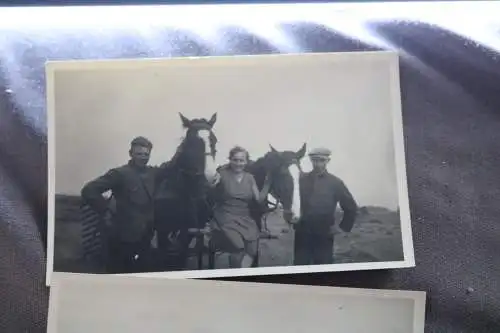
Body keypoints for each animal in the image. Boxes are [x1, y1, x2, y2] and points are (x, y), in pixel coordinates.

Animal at [153, 111, 218, 270]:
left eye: (214, 140)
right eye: (193, 142)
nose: (211, 177)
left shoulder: (193, 229)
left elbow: (185, 253)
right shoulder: (163, 229)